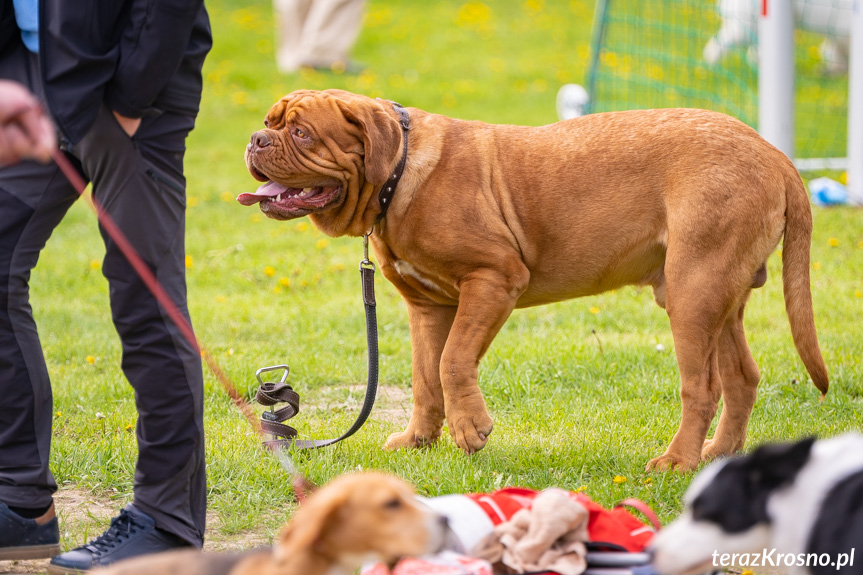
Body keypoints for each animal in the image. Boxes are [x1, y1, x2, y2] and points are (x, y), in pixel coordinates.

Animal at [238, 88, 832, 470]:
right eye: (270, 121)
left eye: (301, 132)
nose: (256, 139)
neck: (399, 173)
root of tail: (775, 154)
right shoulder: (427, 305)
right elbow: (426, 376)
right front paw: (420, 440)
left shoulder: (494, 279)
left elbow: (453, 360)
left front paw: (470, 429)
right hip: (720, 296)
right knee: (742, 376)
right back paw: (718, 454)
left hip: (694, 291)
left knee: (701, 386)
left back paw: (677, 461)